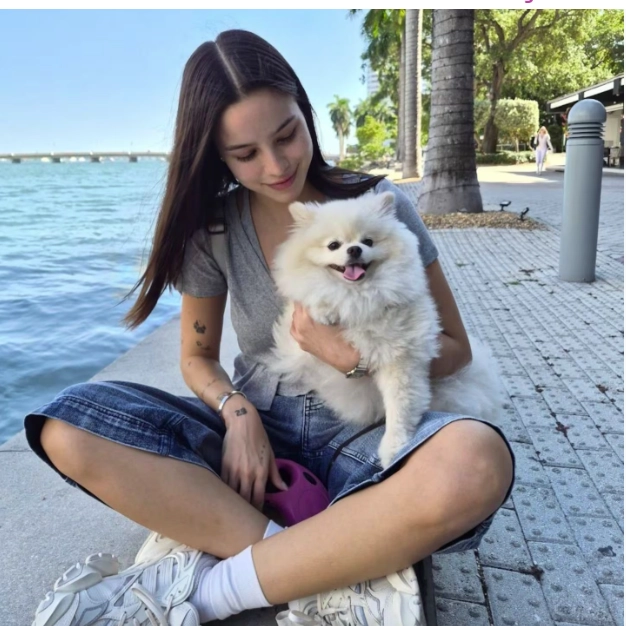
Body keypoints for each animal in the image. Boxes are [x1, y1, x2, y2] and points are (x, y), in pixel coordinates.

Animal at [268, 190, 504, 468]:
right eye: (333, 245)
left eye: (368, 241)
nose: (355, 249)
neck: (361, 296)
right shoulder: (297, 343)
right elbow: (318, 293)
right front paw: (326, 308)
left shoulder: (401, 362)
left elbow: (399, 408)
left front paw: (393, 448)